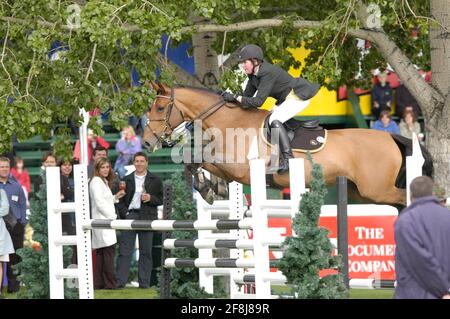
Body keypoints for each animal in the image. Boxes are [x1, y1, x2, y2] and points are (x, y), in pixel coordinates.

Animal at [143, 82, 432, 208]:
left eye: (160, 107)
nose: (146, 142)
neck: (229, 120)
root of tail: (390, 137)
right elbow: (199, 163)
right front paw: (213, 189)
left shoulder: (240, 168)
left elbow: (199, 159)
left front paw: (208, 189)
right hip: (361, 192)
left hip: (377, 189)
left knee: (405, 198)